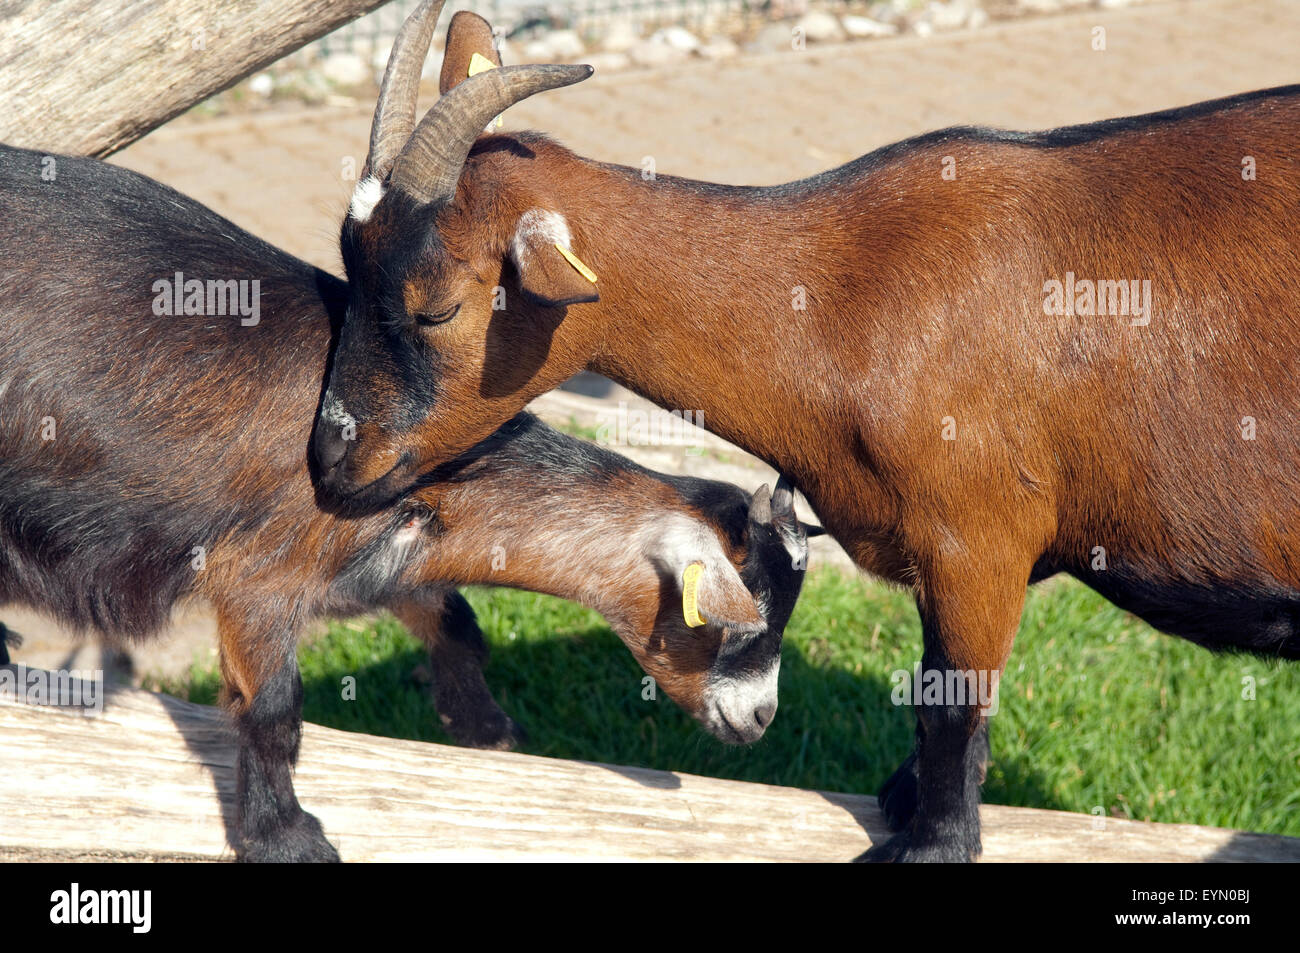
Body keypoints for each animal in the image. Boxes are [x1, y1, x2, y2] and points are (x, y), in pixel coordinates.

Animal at [312, 0, 1300, 863]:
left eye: (437, 307)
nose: (330, 461)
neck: (842, 297)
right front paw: (903, 801)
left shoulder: (980, 541)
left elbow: (950, 705)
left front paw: (932, 843)